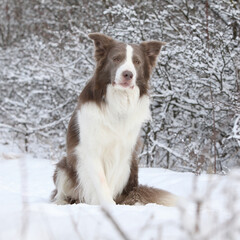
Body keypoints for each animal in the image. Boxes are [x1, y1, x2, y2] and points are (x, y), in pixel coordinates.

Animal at [50, 33, 177, 206]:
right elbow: (101, 182)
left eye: (137, 62)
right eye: (116, 58)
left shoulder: (123, 152)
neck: (119, 101)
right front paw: (108, 206)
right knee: (61, 193)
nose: (128, 74)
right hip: (63, 167)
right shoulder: (90, 150)